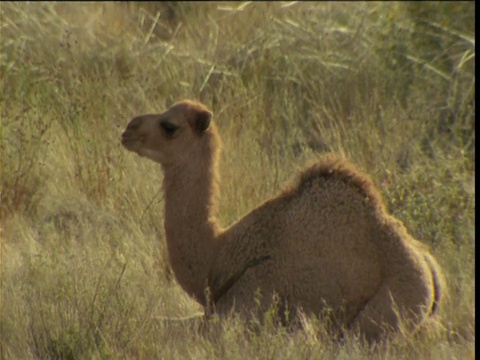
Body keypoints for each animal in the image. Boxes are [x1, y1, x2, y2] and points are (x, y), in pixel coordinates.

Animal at [122, 99, 444, 344]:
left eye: (169, 126)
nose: (128, 129)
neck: (220, 256)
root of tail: (428, 269)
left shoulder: (247, 304)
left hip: (384, 314)